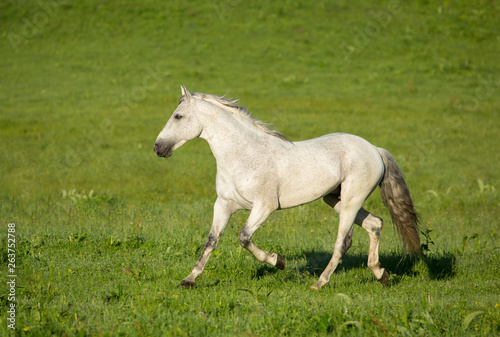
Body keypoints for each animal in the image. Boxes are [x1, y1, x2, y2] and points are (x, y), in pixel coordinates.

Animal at [154, 86, 420, 288]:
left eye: (178, 116)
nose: (158, 148)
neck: (243, 155)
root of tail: (374, 148)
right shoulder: (224, 205)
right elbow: (211, 241)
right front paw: (189, 280)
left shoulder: (265, 206)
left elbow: (244, 237)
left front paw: (278, 261)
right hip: (335, 200)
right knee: (375, 224)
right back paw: (381, 274)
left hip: (351, 201)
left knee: (343, 243)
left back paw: (319, 283)